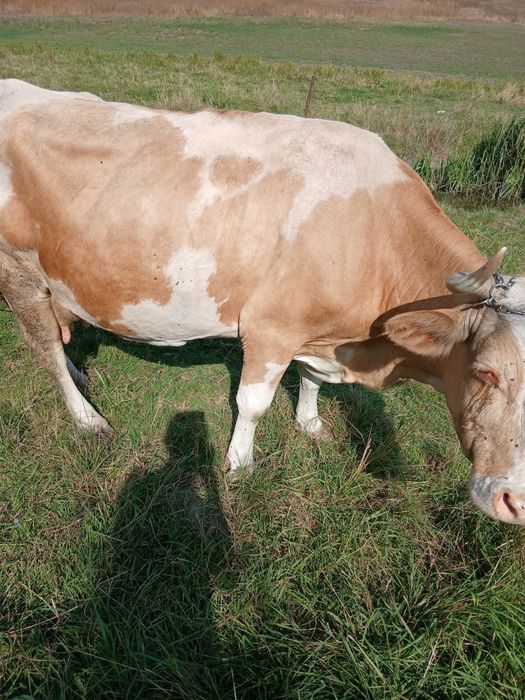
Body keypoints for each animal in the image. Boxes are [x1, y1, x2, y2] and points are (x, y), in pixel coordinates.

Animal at [1, 78, 524, 525]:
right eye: (485, 373)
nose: (514, 501)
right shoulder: (270, 327)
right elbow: (252, 403)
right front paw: (240, 464)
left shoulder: (318, 330)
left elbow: (311, 378)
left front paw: (310, 423)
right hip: (20, 271)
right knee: (44, 347)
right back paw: (87, 417)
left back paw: (79, 372)